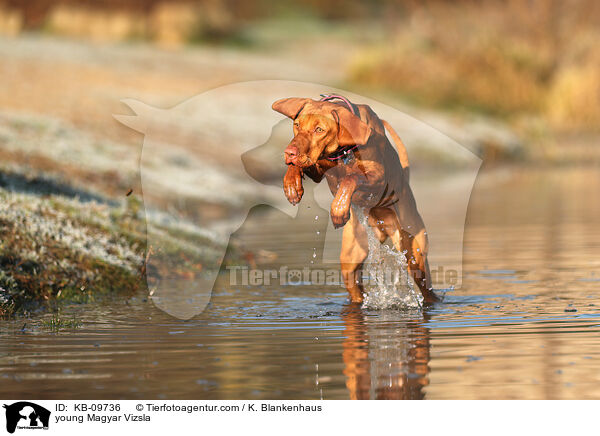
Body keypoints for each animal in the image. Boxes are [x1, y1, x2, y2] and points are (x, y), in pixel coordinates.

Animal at [274, 94, 438, 306]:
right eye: (297, 125)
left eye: (319, 130)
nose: (289, 152)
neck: (342, 151)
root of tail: (381, 227)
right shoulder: (317, 168)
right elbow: (300, 167)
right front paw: (292, 184)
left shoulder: (378, 178)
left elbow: (351, 177)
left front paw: (338, 208)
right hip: (351, 259)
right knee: (356, 290)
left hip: (415, 255)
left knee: (427, 290)